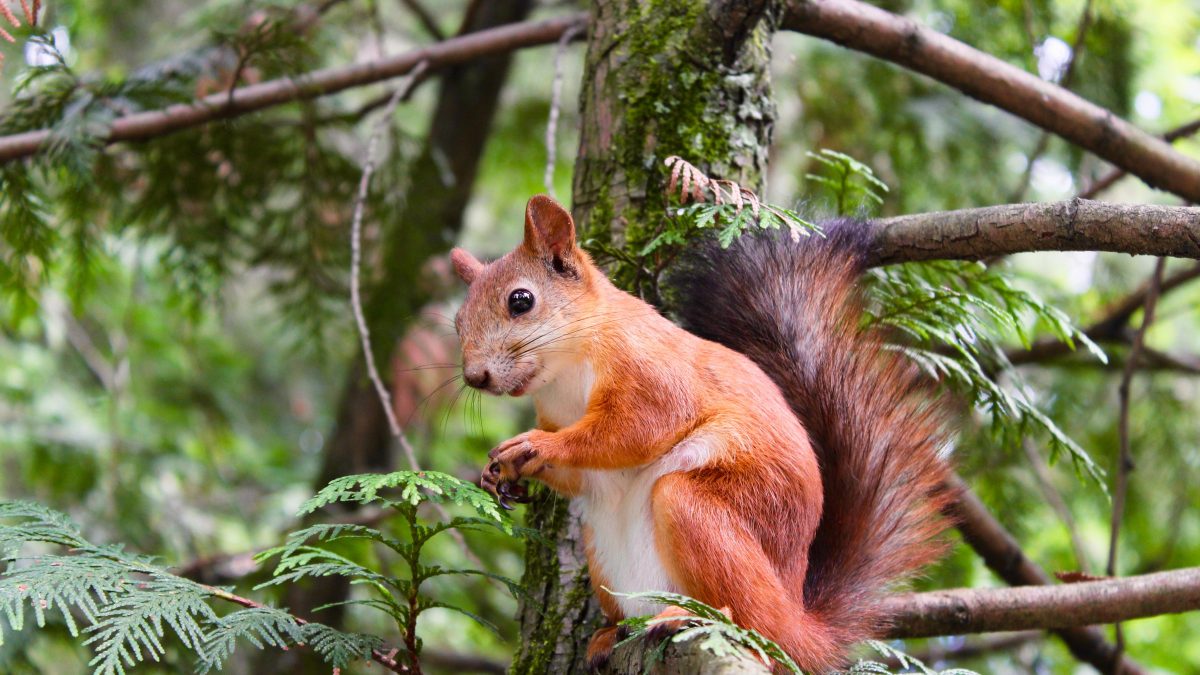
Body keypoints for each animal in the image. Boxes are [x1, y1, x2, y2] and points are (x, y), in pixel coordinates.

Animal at [451, 192, 955, 667]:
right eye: (457, 322)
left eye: (521, 300)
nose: (475, 377)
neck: (565, 373)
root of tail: (799, 622)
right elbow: (582, 474)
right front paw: (501, 474)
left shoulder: (652, 371)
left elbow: (634, 429)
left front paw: (538, 447)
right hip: (604, 555)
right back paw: (609, 635)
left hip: (700, 511)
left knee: (753, 620)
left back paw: (692, 617)